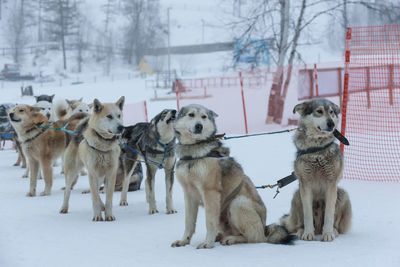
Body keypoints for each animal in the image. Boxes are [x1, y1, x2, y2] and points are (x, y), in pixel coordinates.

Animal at [170, 104, 292, 249]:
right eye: (191, 115)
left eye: (204, 117)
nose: (199, 126)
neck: (194, 152)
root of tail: (265, 227)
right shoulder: (189, 194)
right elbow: (188, 222)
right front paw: (184, 241)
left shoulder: (210, 192)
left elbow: (209, 222)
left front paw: (207, 243)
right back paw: (221, 236)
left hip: (238, 203)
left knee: (255, 237)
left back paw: (232, 239)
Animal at [282, 98, 350, 243]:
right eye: (319, 111)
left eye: (331, 112)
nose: (331, 124)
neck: (317, 150)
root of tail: (318, 228)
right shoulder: (305, 185)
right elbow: (308, 215)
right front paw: (308, 234)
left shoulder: (331, 184)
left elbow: (329, 215)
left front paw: (328, 234)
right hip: (297, 196)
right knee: (301, 223)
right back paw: (302, 231)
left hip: (342, 194)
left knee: (334, 223)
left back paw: (333, 231)